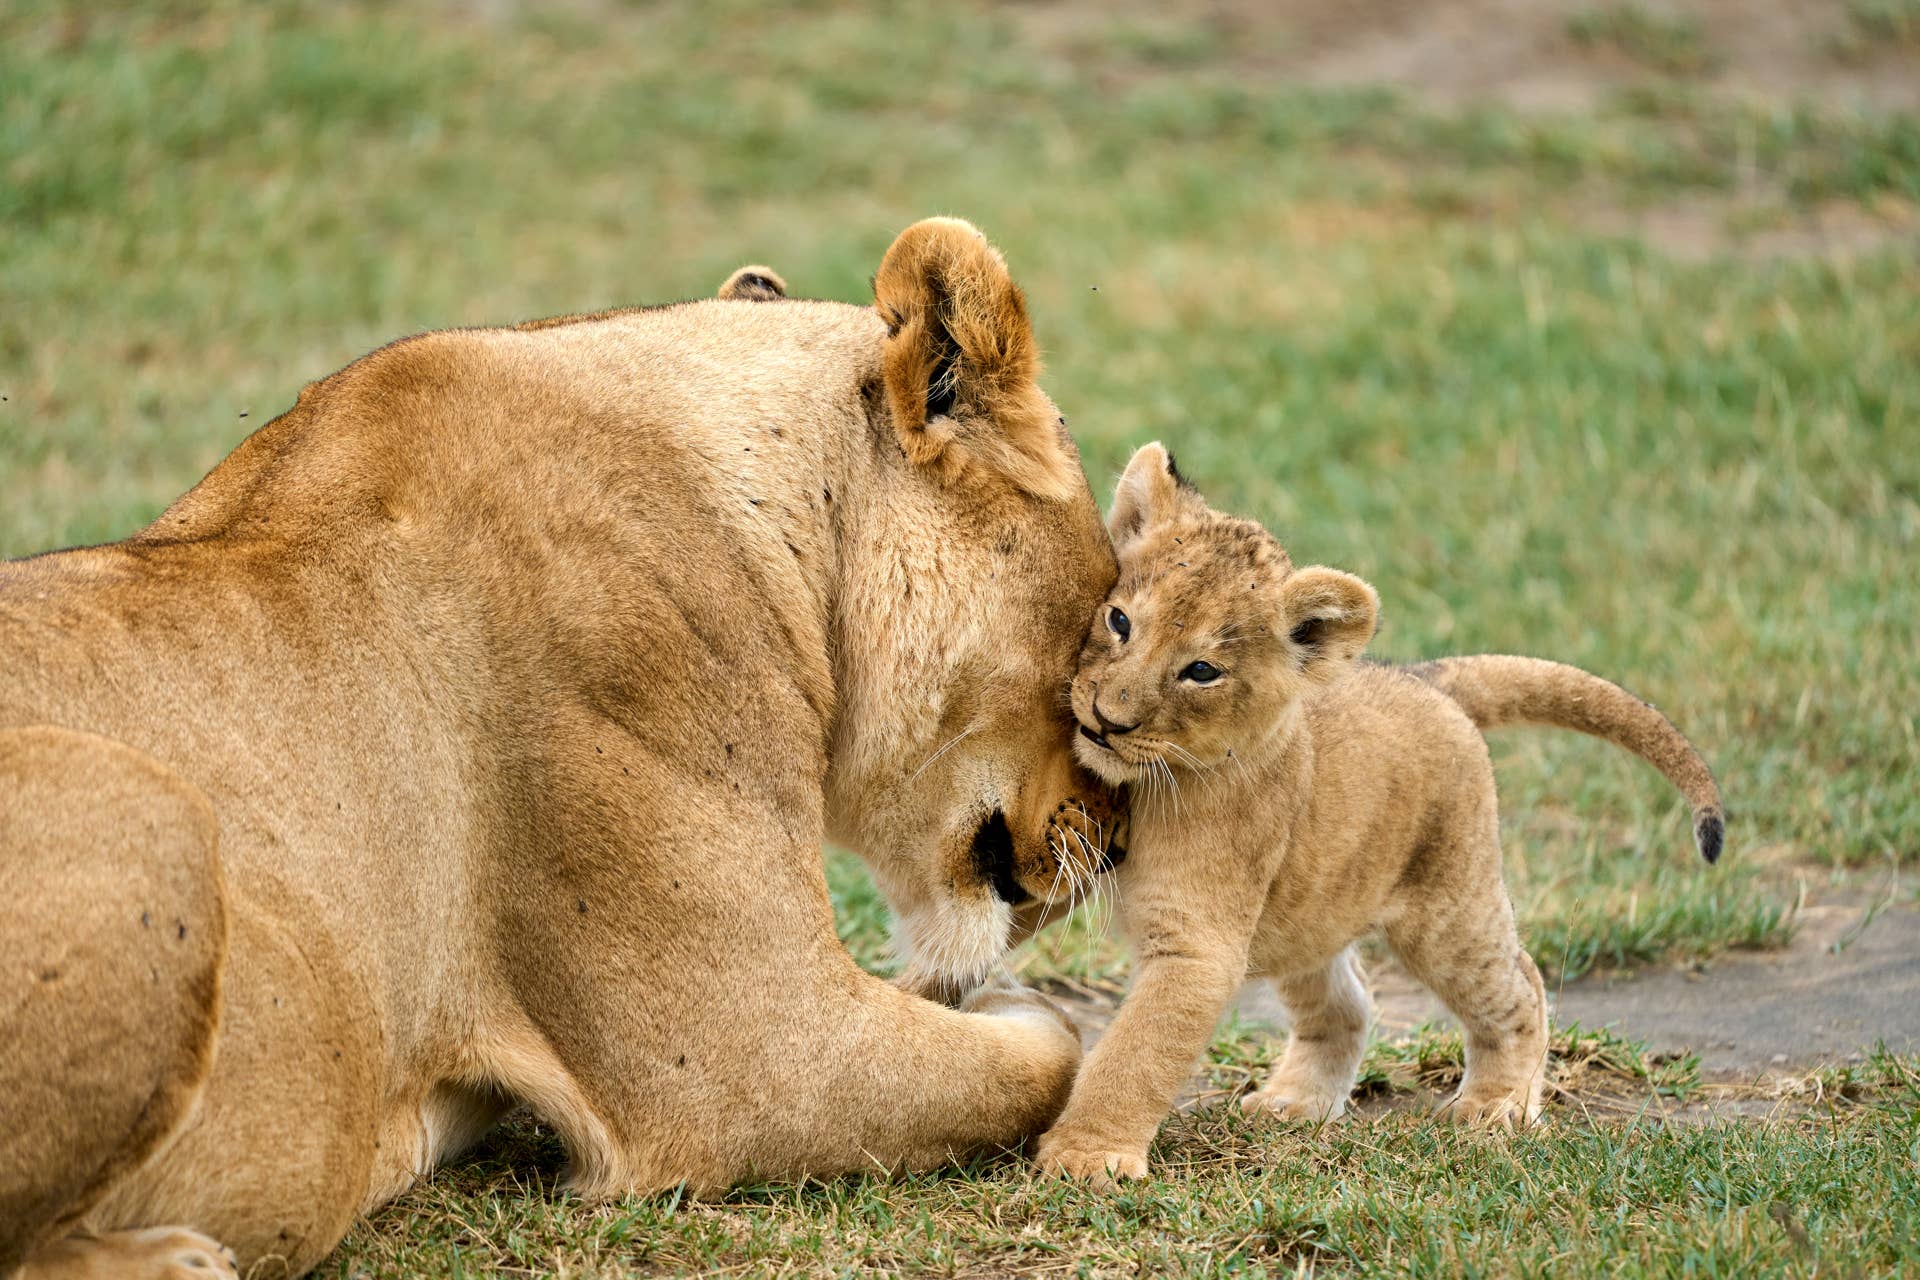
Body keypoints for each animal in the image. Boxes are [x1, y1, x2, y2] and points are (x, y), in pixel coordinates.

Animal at [0, 218, 1124, 1278]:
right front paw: (1032, 1011)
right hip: (148, 802)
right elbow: (1038, 1060)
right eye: (1111, 613)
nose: (1117, 841)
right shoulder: (753, 1056)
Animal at [1030, 444, 1725, 1186]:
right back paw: (1294, 1104)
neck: (1145, 783)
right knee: (1348, 1004)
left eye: (1202, 671)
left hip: (1447, 911)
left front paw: (1086, 1156)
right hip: (1311, 910)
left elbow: (1136, 1052)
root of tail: (1425, 676)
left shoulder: (1197, 943)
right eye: (1120, 621)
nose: (1107, 721)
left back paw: (1498, 1105)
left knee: (1521, 986)